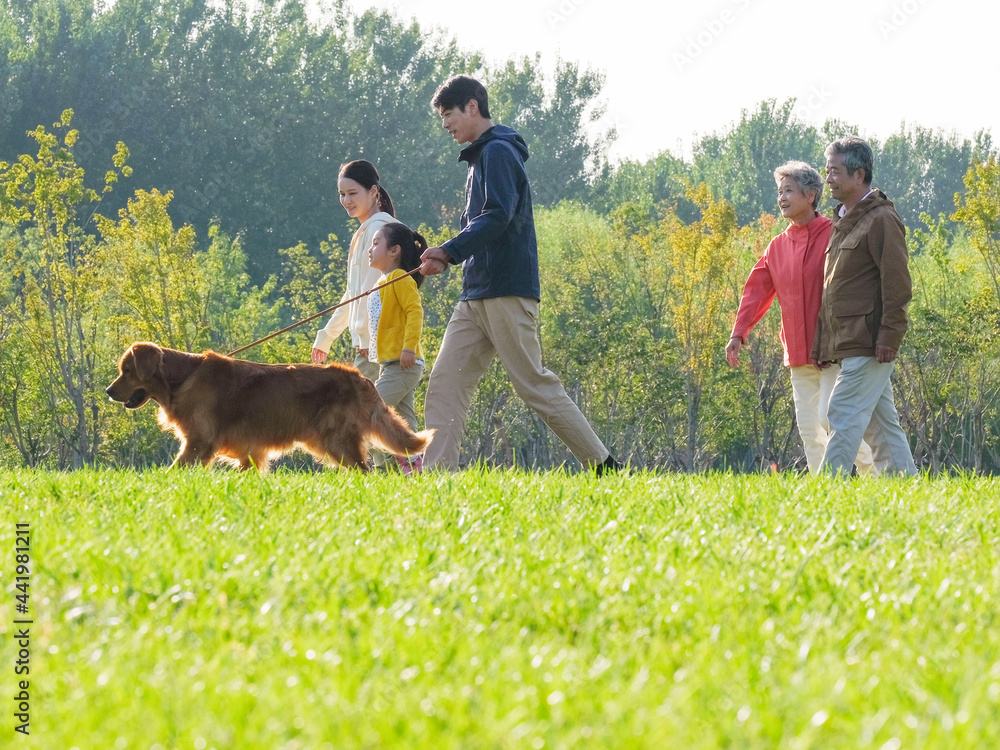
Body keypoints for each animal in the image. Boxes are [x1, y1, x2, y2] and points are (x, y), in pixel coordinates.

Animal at [106, 344, 434, 472]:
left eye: (127, 371)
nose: (108, 391)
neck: (182, 377)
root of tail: (357, 377)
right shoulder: (250, 452)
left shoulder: (199, 442)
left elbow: (175, 469)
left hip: (336, 440)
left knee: (364, 470)